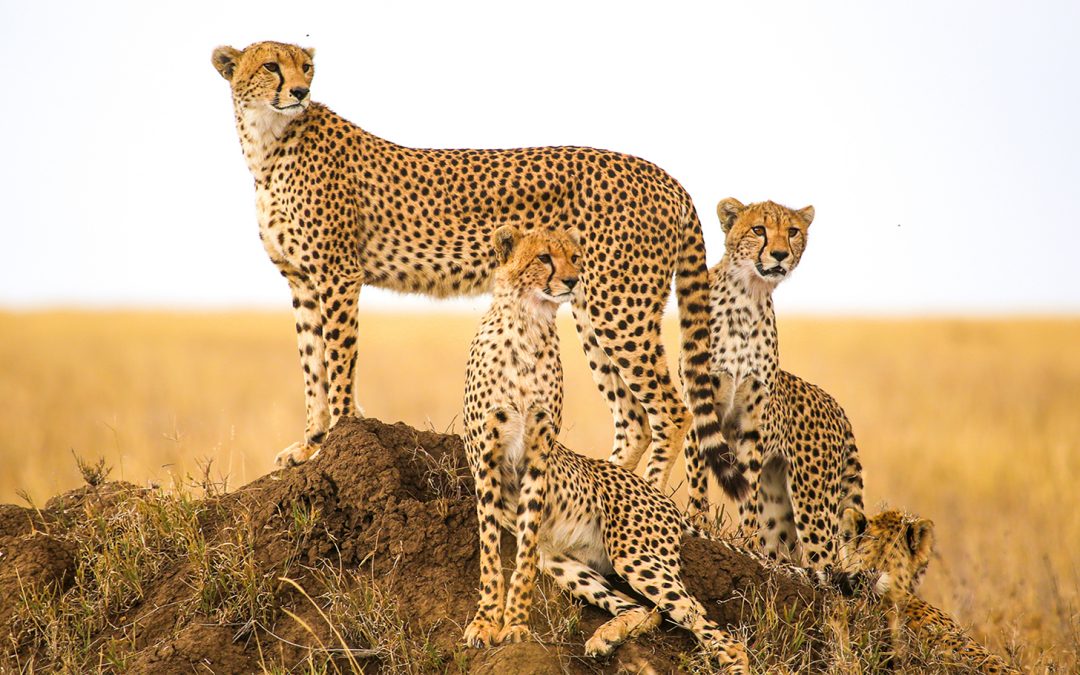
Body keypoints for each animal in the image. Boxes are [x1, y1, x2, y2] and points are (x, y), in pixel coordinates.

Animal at [210, 40, 737, 490]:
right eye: (271, 66)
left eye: (307, 67)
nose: (300, 91)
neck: (268, 143)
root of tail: (665, 176)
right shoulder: (301, 280)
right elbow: (312, 368)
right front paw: (311, 445)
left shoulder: (338, 274)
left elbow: (337, 363)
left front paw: (333, 440)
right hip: (591, 306)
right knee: (634, 418)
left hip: (619, 307)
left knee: (672, 410)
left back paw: (649, 498)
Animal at [682, 198, 864, 569]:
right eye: (758, 229)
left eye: (792, 231)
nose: (779, 254)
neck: (748, 296)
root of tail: (836, 405)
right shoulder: (700, 401)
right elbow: (697, 478)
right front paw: (697, 524)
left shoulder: (752, 421)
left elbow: (748, 489)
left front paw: (748, 540)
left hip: (812, 500)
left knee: (823, 560)